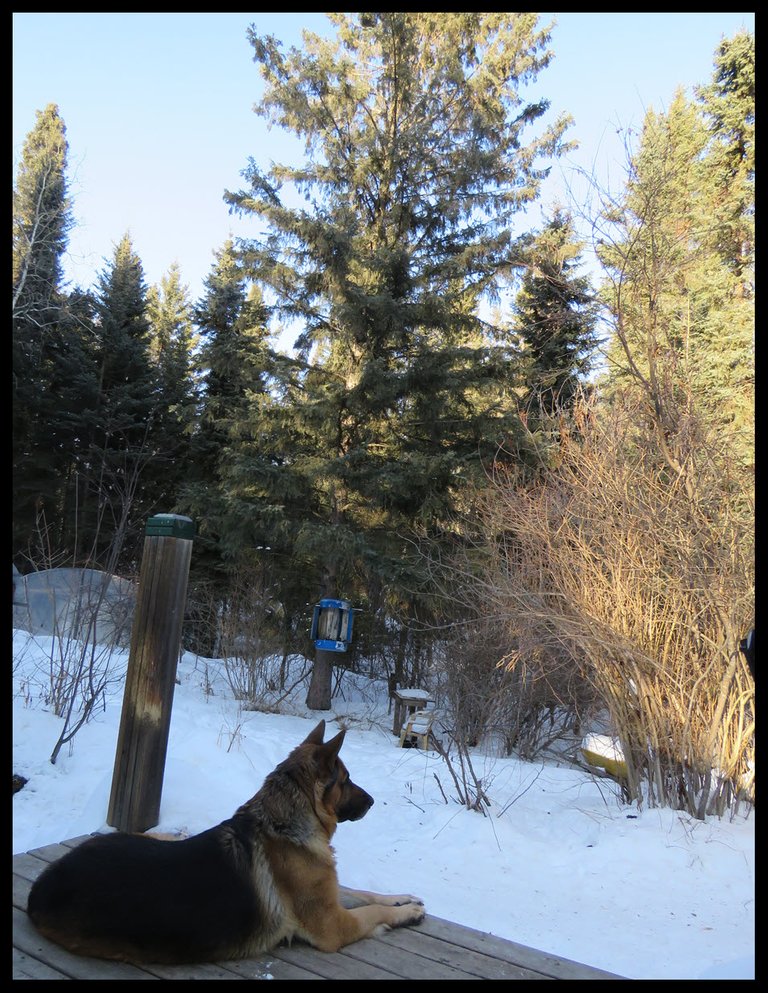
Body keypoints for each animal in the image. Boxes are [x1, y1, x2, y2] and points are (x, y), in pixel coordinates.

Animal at [27, 720, 426, 960]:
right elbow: (370, 911)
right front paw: (406, 913)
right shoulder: (333, 925)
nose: (372, 801)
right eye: (347, 779)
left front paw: (401, 897)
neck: (281, 823)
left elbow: (362, 892)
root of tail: (40, 889)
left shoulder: (329, 894)